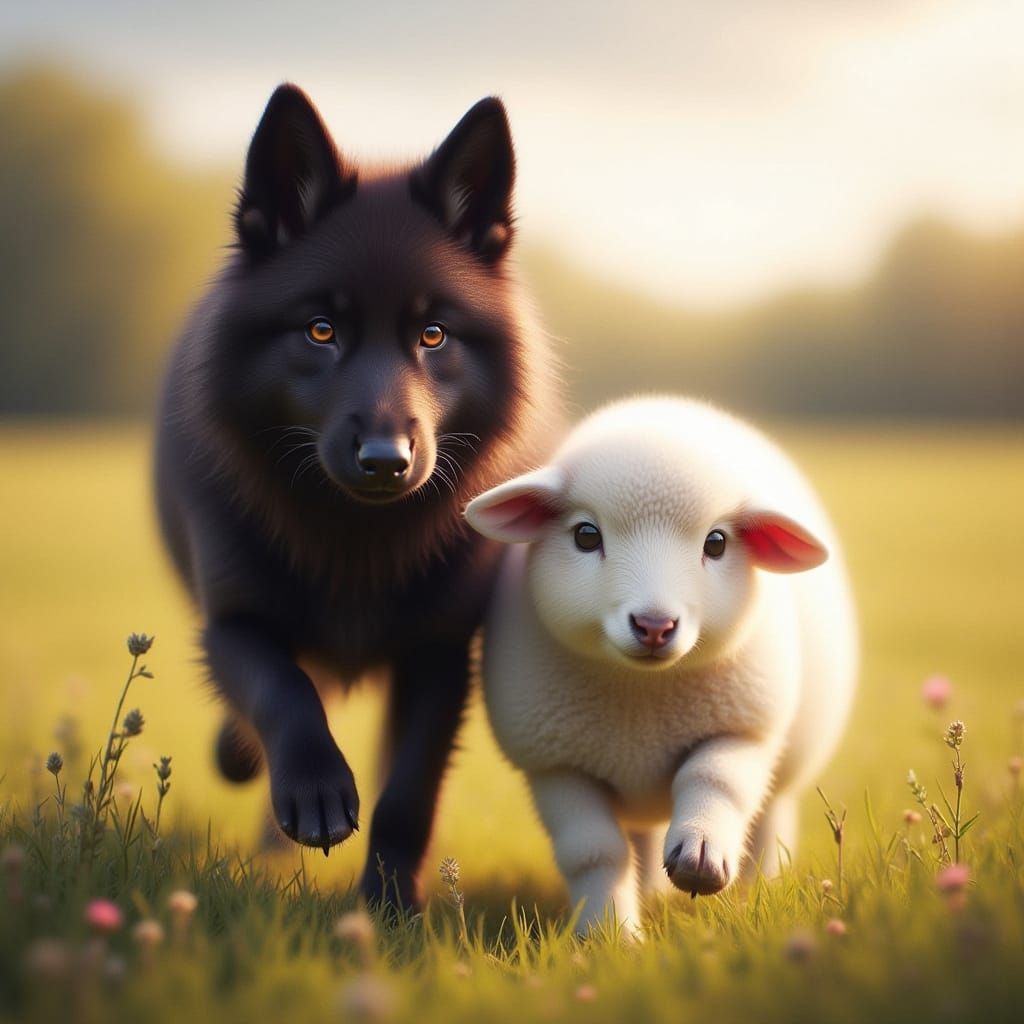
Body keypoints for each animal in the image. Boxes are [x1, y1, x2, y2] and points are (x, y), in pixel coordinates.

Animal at [464, 396, 857, 934]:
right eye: (585, 535)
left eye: (716, 543)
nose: (654, 625)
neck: (641, 694)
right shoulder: (554, 763)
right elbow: (594, 852)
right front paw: (608, 934)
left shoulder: (742, 728)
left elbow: (713, 782)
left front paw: (702, 853)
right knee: (640, 839)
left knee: (771, 816)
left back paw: (760, 886)